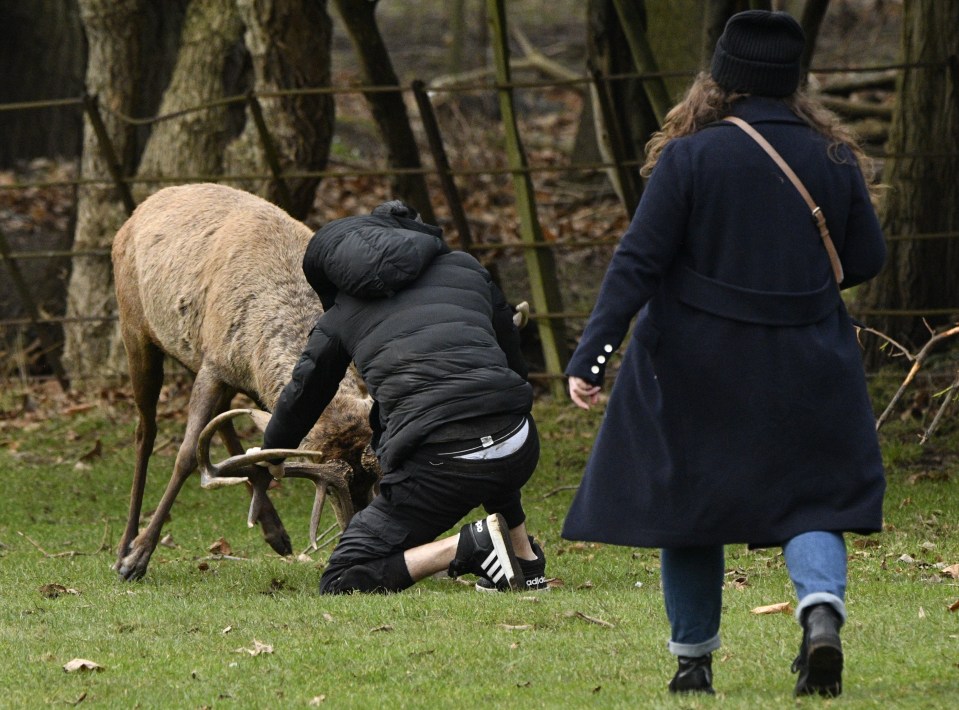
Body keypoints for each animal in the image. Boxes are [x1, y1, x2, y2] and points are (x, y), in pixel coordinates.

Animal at [112, 184, 378, 584]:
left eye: (377, 481)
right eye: (331, 491)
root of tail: (139, 209)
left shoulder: (226, 370)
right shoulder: (214, 365)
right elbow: (186, 455)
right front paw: (138, 557)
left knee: (223, 424)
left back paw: (275, 531)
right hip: (135, 329)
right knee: (145, 431)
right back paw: (124, 544)